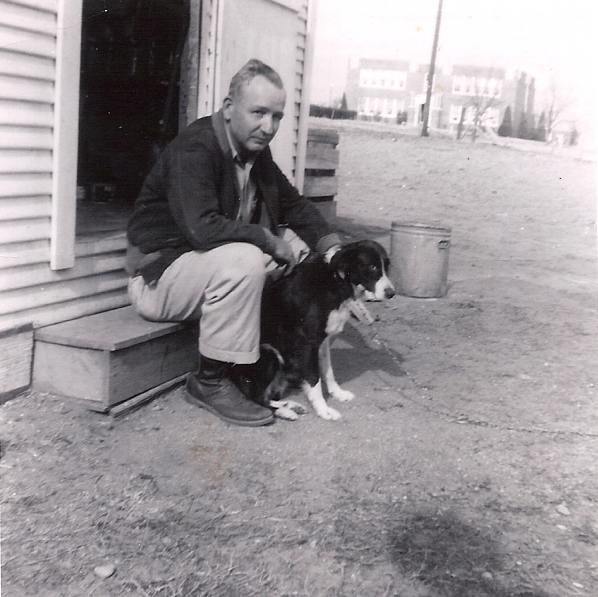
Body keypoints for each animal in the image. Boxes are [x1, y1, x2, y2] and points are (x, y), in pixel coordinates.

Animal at [251, 237, 396, 420]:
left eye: (386, 265)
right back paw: (286, 411)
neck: (335, 281)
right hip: (269, 352)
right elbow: (314, 379)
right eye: (372, 266)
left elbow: (328, 371)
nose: (391, 293)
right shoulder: (308, 343)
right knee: (257, 397)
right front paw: (324, 410)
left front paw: (338, 393)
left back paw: (291, 406)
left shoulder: (323, 342)